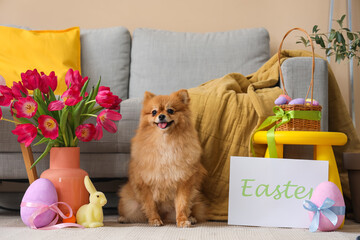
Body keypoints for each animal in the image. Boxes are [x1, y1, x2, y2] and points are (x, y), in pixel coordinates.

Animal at [118, 89, 207, 227]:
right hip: (130, 203)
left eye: (170, 110)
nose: (161, 116)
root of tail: (165, 216)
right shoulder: (145, 183)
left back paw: (191, 218)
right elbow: (150, 205)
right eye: (154, 112)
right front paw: (154, 219)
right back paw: (123, 218)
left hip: (195, 197)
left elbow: (182, 204)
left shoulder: (184, 181)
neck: (165, 141)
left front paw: (182, 220)